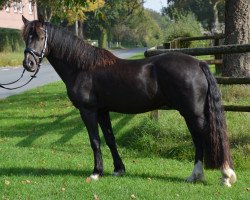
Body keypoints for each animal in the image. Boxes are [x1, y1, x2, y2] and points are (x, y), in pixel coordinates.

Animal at [21, 16, 236, 187]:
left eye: (41, 37)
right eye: (25, 37)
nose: (28, 63)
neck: (82, 67)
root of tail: (199, 63)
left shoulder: (88, 111)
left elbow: (95, 141)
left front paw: (96, 172)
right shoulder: (102, 111)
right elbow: (110, 139)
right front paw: (118, 169)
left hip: (193, 113)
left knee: (204, 138)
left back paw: (223, 176)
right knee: (199, 140)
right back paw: (197, 176)